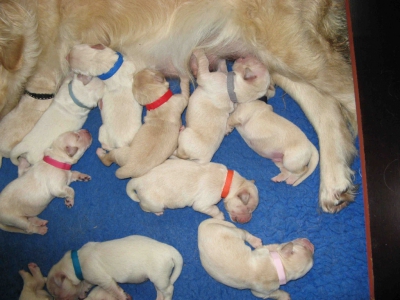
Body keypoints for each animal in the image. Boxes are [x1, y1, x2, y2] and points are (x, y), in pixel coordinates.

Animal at [0, 0, 354, 213]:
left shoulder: (44, 69)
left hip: (288, 45)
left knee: (345, 94)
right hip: (267, 51)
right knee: (325, 106)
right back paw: (334, 182)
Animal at [47, 234, 184, 300]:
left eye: (55, 293)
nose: (54, 299)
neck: (77, 261)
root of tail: (170, 251)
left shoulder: (104, 280)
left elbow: (115, 290)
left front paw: (122, 297)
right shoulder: (91, 278)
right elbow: (86, 284)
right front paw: (82, 292)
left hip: (159, 277)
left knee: (169, 289)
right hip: (159, 278)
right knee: (160, 292)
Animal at [126, 157, 260, 223]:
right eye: (248, 209)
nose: (249, 220)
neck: (229, 182)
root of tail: (137, 181)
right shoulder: (203, 204)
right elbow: (214, 209)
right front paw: (220, 216)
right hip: (154, 203)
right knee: (143, 207)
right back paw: (157, 212)